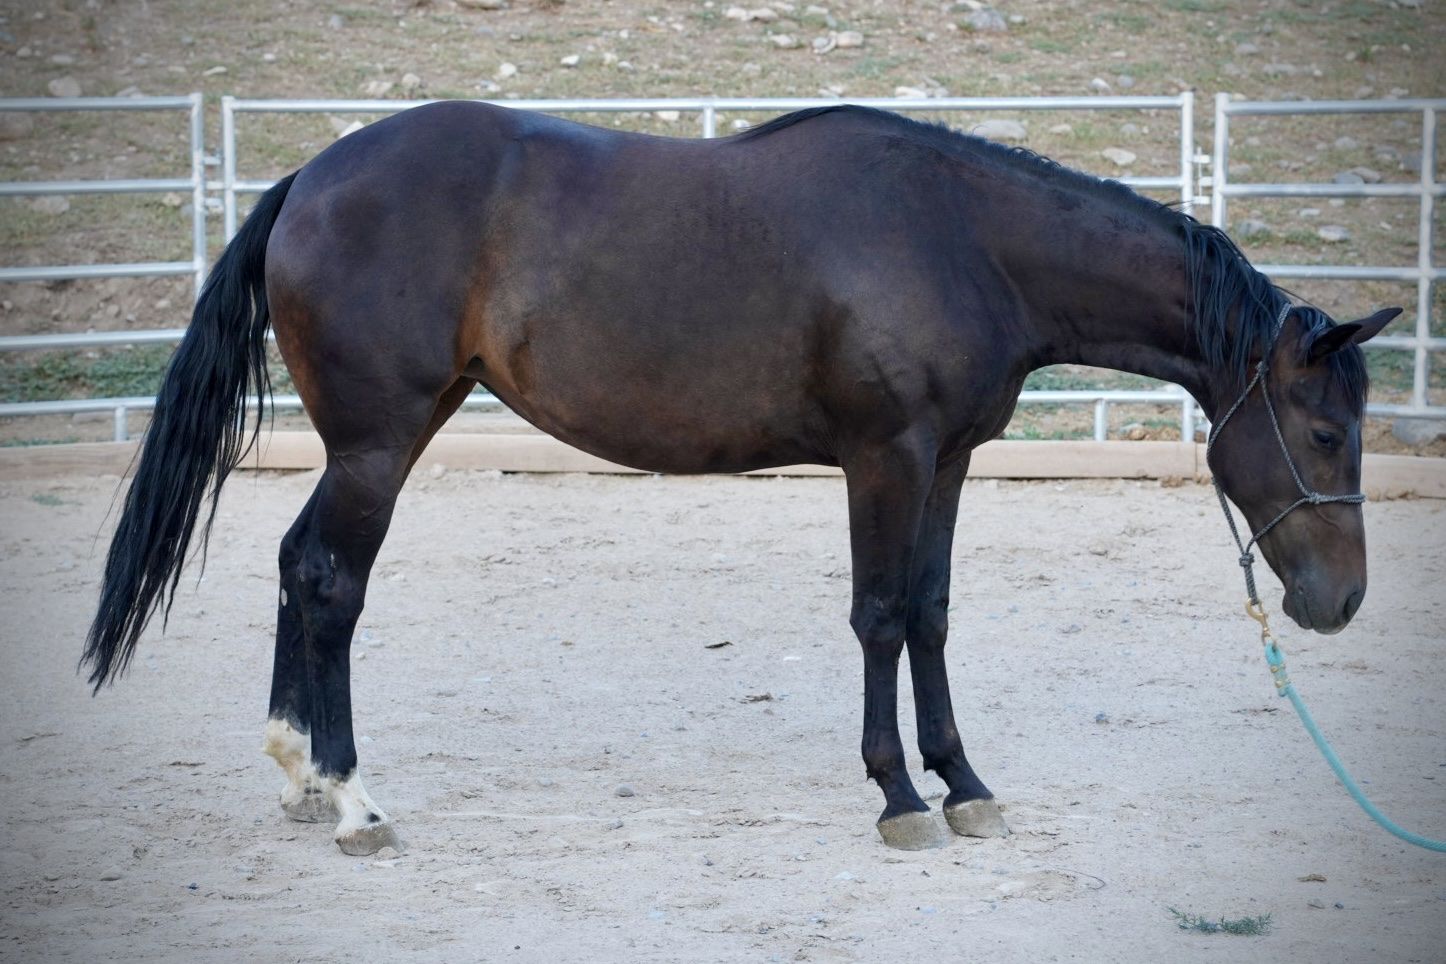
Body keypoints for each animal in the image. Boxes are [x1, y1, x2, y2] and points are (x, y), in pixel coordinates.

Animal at [82, 103, 1399, 855]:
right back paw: (353, 799)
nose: (1339, 602)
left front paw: (965, 783)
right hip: (377, 444)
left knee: (295, 566)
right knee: (329, 580)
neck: (959, 235)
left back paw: (302, 776)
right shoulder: (885, 455)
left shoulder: (950, 459)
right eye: (1326, 431)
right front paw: (898, 797)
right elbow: (879, 616)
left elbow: (931, 613)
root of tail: (310, 179)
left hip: (383, 437)